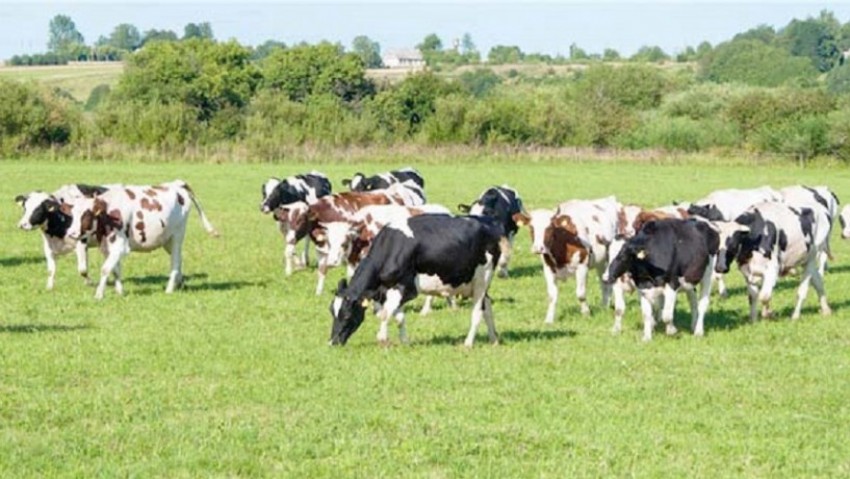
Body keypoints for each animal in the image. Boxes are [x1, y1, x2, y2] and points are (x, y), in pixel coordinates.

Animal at [68, 181, 219, 300]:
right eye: (73, 215)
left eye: (86, 216)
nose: (71, 233)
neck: (109, 212)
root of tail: (178, 184)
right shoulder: (107, 247)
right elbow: (115, 270)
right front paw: (120, 292)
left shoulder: (120, 246)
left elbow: (105, 269)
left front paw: (99, 294)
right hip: (167, 240)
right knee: (179, 259)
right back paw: (179, 283)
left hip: (177, 235)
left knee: (175, 261)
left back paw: (169, 289)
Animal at [328, 216, 500, 346]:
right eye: (332, 312)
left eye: (347, 316)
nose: (332, 342)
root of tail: (488, 227)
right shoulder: (388, 291)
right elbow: (398, 317)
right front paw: (405, 342)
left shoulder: (407, 288)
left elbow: (386, 314)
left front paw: (382, 339)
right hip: (475, 284)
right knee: (488, 306)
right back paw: (494, 339)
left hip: (482, 280)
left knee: (477, 311)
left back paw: (468, 343)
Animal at [512, 196, 620, 326]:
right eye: (531, 228)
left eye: (550, 228)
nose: (538, 248)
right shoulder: (548, 269)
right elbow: (552, 296)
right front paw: (549, 319)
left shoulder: (582, 267)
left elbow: (580, 293)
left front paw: (586, 313)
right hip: (601, 262)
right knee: (603, 282)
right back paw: (604, 306)